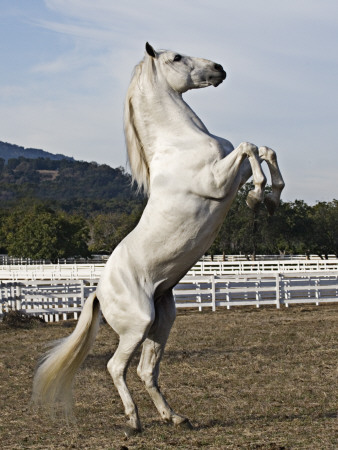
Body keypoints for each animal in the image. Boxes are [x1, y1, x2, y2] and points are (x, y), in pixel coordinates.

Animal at [32, 42, 286, 436]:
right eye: (177, 58)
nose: (219, 69)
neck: (179, 141)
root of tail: (98, 292)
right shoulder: (217, 179)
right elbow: (250, 146)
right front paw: (258, 197)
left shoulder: (233, 170)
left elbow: (263, 149)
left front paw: (271, 198)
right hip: (136, 325)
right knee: (116, 367)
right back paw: (133, 421)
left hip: (161, 323)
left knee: (145, 370)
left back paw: (175, 417)